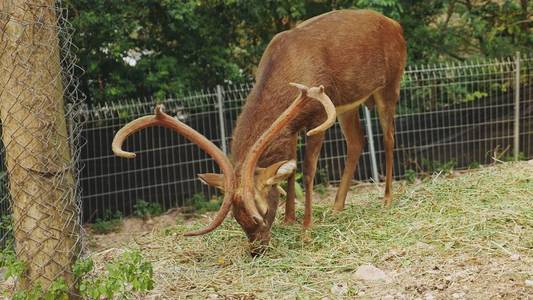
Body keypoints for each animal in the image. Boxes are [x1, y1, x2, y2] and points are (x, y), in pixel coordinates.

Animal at [111, 8, 404, 253]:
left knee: (389, 138)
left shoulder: (319, 115)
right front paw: (289, 219)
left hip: (390, 85)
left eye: (262, 211)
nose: (257, 249)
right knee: (357, 142)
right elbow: (290, 170)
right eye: (235, 216)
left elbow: (308, 171)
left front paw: (306, 231)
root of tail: (396, 25)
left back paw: (387, 199)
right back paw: (336, 207)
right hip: (348, 105)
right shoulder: (292, 127)